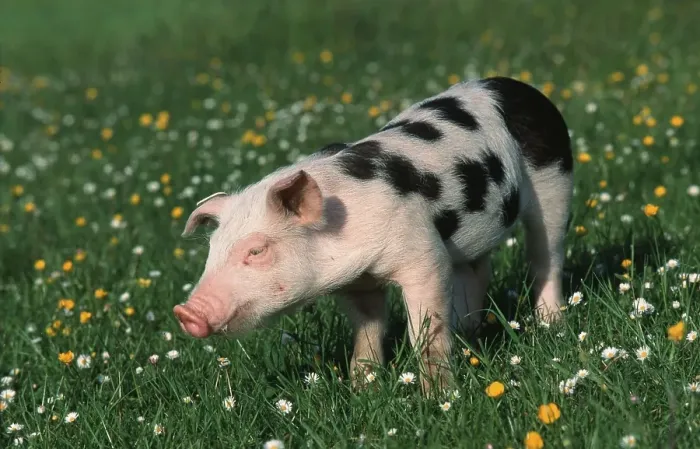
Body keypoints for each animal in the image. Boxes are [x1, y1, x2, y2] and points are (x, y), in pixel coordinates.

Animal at [174, 76, 573, 394]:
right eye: (212, 250)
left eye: (256, 251)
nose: (186, 312)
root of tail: (515, 86)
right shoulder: (359, 284)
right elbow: (366, 334)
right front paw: (362, 390)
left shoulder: (423, 255)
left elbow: (425, 332)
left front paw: (438, 397)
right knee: (477, 270)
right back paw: (468, 334)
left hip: (555, 184)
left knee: (546, 257)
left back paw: (550, 324)